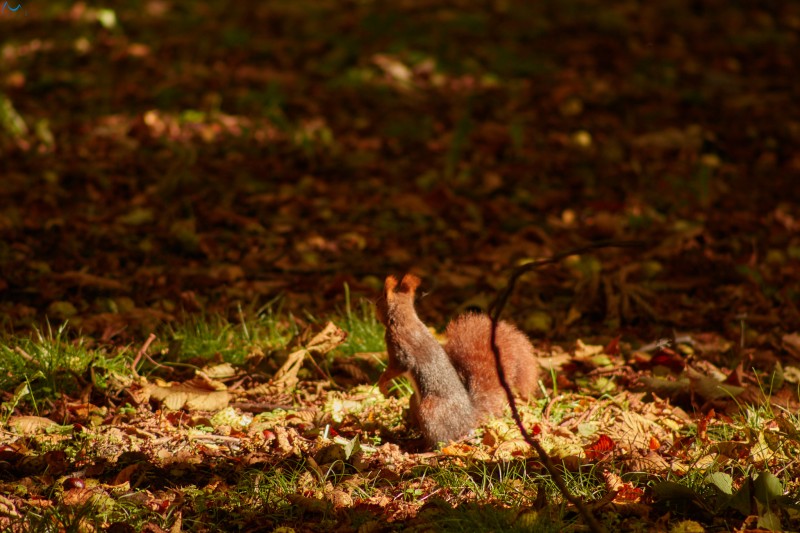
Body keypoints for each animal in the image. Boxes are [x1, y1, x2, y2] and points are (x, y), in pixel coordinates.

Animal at [374, 272, 536, 446]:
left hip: (430, 410)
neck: (404, 321)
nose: (373, 305)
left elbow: (396, 367)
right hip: (414, 401)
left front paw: (382, 384)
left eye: (381, 299)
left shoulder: (400, 351)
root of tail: (469, 417)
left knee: (443, 440)